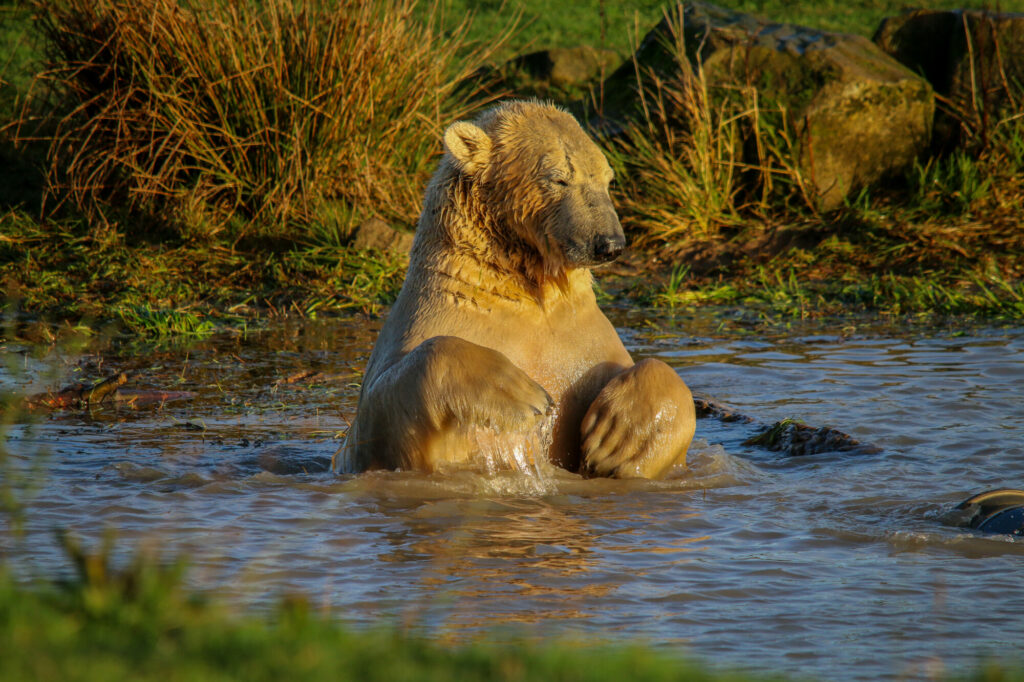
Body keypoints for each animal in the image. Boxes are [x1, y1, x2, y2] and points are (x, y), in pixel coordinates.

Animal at [337, 100, 695, 479]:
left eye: (608, 179)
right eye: (559, 178)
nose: (609, 244)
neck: (523, 293)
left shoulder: (580, 340)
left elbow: (641, 371)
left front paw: (620, 441)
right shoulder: (424, 325)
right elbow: (383, 407)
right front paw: (521, 394)